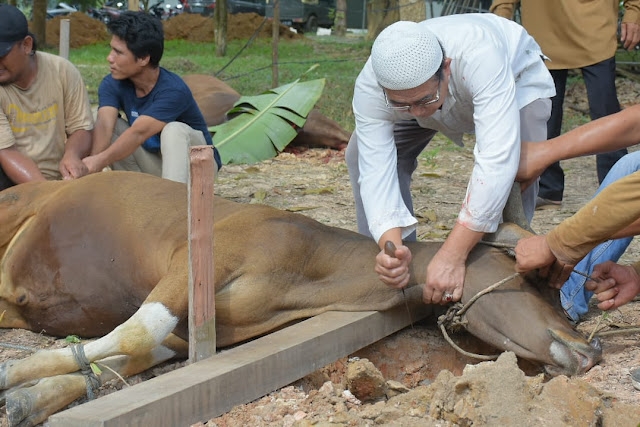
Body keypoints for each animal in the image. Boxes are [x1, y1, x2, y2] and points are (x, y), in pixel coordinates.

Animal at [0, 172, 600, 426]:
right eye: (530, 275)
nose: (589, 349)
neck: (309, 265)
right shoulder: (192, 267)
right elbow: (134, 332)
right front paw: (13, 376)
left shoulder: (200, 331)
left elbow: (129, 355)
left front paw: (30, 397)